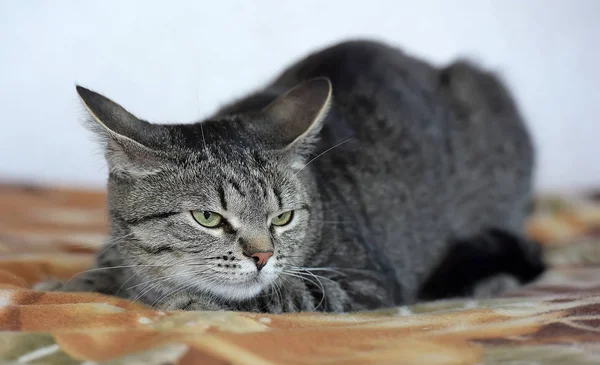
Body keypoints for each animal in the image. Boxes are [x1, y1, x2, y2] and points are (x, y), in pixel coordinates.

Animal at [36, 40, 544, 312]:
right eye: (207, 218)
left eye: (282, 218)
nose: (262, 256)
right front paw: (74, 284)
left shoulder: (363, 283)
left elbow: (276, 294)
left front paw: (173, 299)